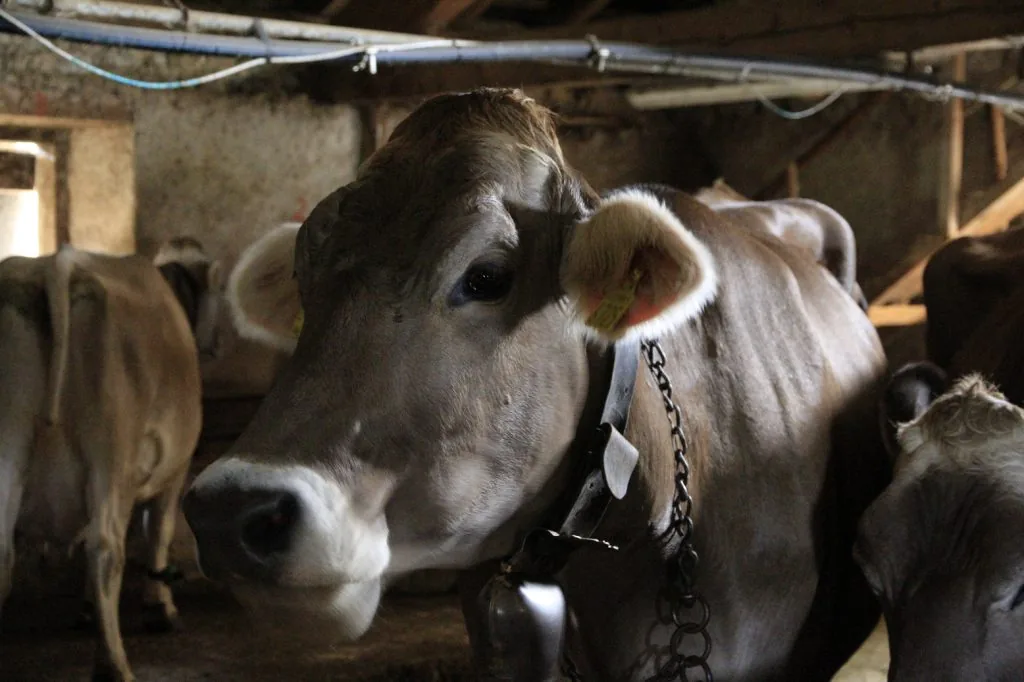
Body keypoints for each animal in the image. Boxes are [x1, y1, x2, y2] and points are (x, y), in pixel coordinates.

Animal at [0, 240, 217, 682]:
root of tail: (58, 264)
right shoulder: (175, 470)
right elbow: (158, 532)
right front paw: (160, 607)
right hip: (112, 447)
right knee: (105, 548)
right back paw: (113, 664)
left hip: (10, 441)